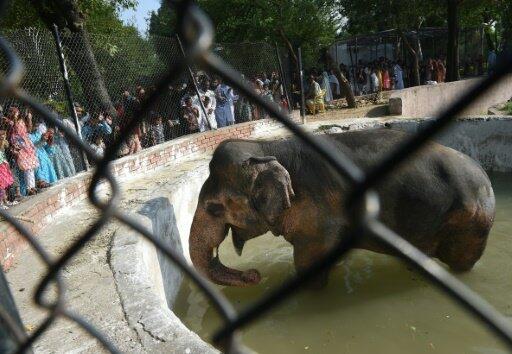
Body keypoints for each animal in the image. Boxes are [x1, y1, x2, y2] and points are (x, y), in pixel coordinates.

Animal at [189, 129, 496, 288]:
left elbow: (308, 262)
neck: (267, 147)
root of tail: (485, 176)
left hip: (471, 225)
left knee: (462, 262)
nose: (253, 274)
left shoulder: (318, 215)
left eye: (214, 208)